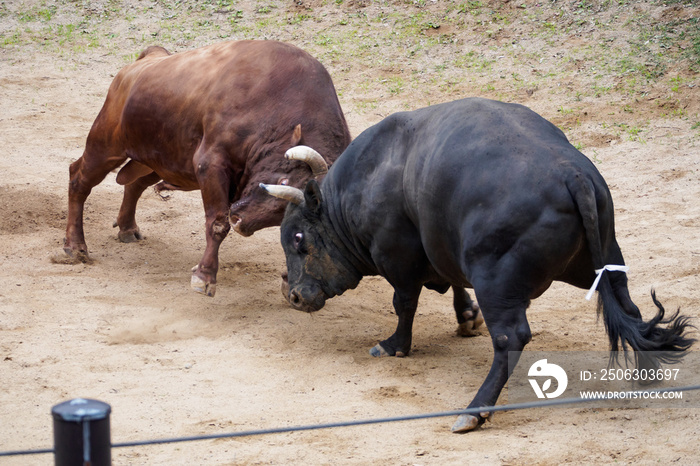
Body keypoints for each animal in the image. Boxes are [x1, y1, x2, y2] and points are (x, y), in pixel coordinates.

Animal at [61, 40, 350, 294]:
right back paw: (75, 247)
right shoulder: (210, 165)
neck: (274, 106)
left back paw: (127, 228)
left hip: (158, 162)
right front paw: (205, 275)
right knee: (78, 179)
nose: (241, 222)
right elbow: (217, 223)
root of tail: (145, 60)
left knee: (134, 185)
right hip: (105, 146)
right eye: (283, 182)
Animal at [262, 97, 696, 434]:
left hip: (496, 281)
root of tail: (572, 173)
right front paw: (465, 316)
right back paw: (646, 373)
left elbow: (404, 304)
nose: (294, 295)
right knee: (630, 310)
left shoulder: (398, 257)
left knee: (511, 338)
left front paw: (394, 345)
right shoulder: (444, 247)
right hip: (603, 261)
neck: (366, 180)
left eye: (298, 239)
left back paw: (475, 411)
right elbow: (452, 282)